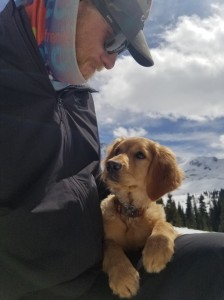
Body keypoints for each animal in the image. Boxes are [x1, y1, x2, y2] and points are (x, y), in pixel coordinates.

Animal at [101, 137, 184, 298]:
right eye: (117, 151)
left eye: (140, 155)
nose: (111, 164)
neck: (131, 212)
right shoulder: (105, 239)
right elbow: (112, 248)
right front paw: (123, 277)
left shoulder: (164, 223)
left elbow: (163, 225)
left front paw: (156, 252)